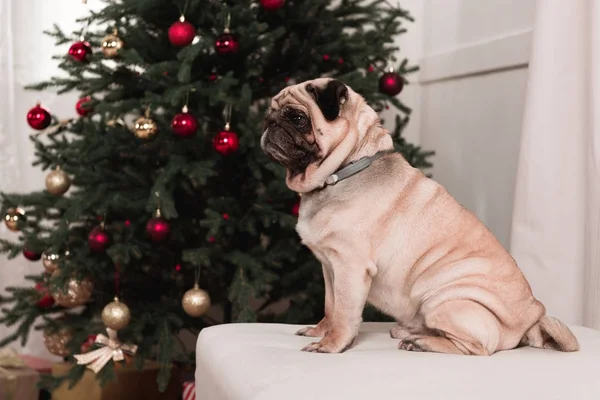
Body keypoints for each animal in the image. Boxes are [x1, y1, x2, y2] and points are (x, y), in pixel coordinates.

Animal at [260, 76, 580, 354]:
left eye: (297, 118)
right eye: (269, 115)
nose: (269, 124)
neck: (344, 170)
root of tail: (532, 320)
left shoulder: (350, 267)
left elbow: (344, 313)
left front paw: (331, 344)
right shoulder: (329, 267)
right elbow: (330, 306)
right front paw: (319, 330)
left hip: (443, 300)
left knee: (476, 349)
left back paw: (421, 342)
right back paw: (411, 331)